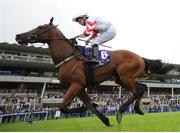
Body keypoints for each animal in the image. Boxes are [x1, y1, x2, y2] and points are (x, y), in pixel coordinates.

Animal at [15, 17, 174, 125]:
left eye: (39, 26)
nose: (18, 36)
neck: (68, 57)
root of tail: (140, 57)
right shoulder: (79, 88)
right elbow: (89, 105)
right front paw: (105, 120)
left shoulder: (76, 84)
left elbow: (64, 106)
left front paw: (83, 109)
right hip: (121, 78)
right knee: (143, 87)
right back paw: (138, 109)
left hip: (125, 76)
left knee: (137, 91)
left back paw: (121, 111)